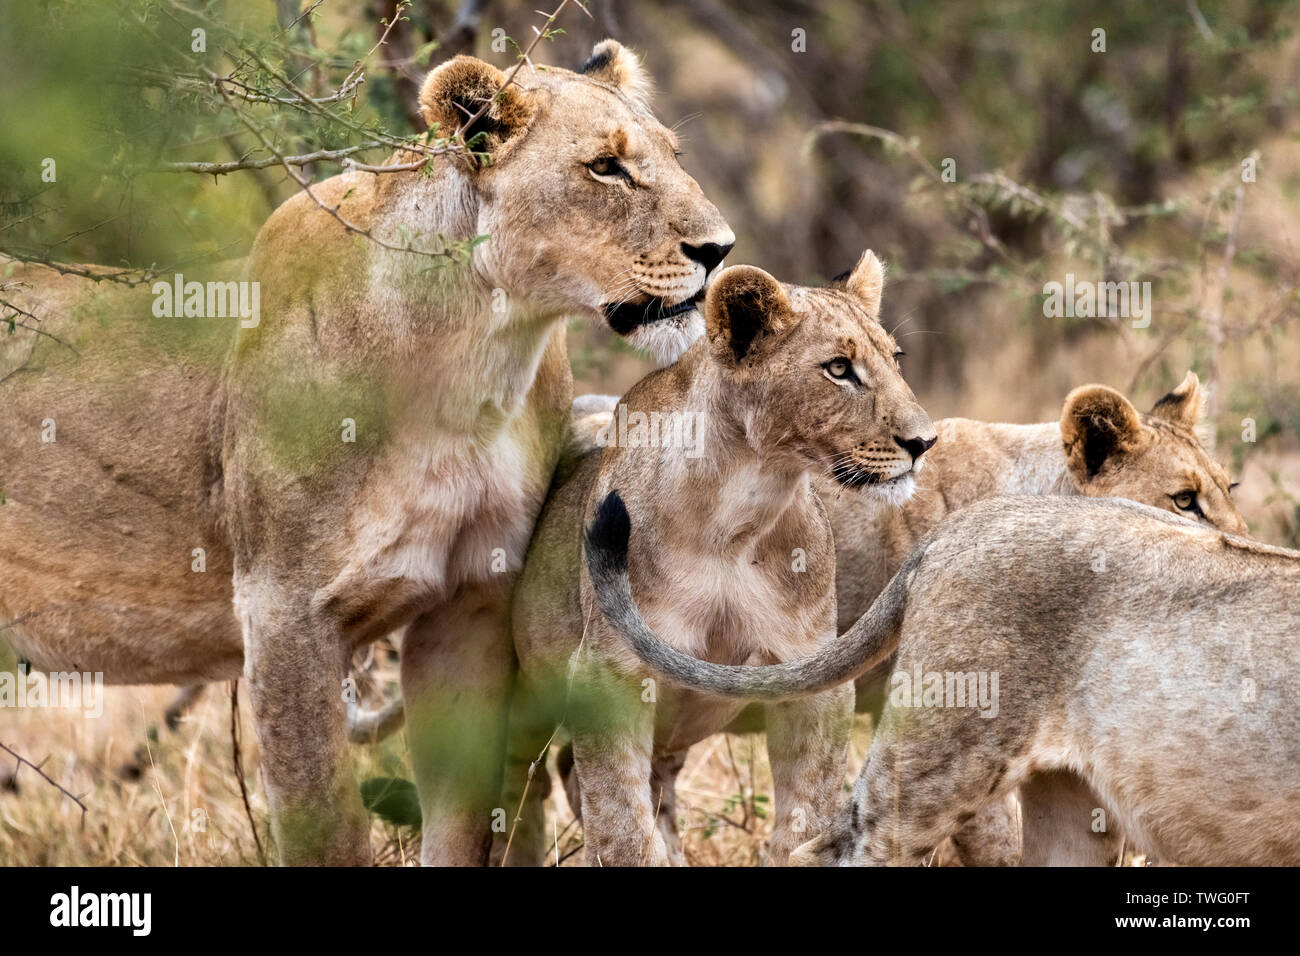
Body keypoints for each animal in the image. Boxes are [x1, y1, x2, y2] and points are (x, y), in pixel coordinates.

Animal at [504, 251, 935, 863]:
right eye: (838, 369)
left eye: (896, 360)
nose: (924, 443)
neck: (737, 519)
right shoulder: (607, 674)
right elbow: (622, 826)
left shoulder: (811, 672)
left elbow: (808, 812)